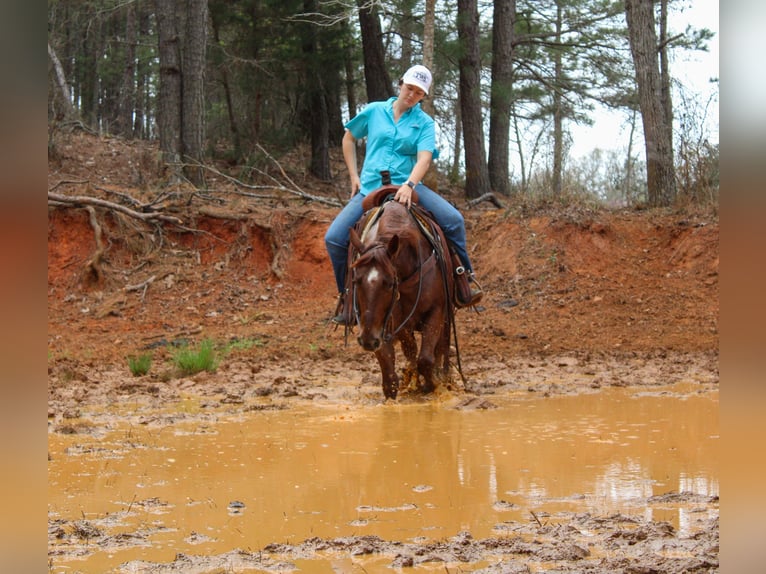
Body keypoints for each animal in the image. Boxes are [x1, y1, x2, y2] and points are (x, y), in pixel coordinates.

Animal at [347, 195, 455, 400]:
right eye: (356, 280)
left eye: (389, 283)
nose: (367, 340)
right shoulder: (391, 324)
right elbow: (393, 369)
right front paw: (409, 382)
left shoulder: (436, 311)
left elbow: (426, 359)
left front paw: (432, 383)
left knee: (441, 348)